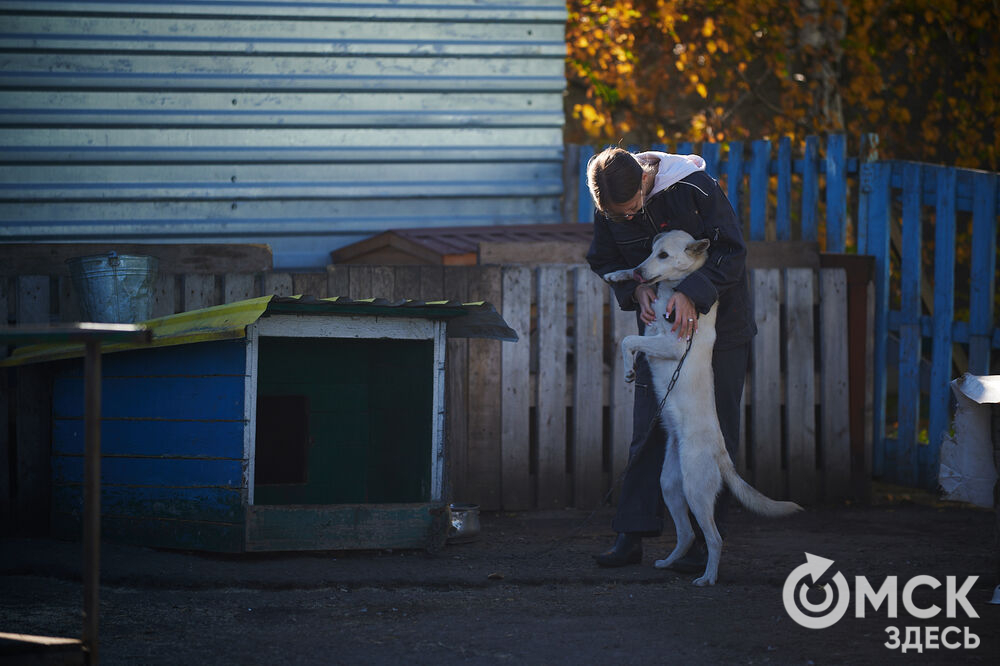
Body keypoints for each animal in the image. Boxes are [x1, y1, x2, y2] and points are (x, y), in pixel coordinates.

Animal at [600, 231, 804, 584]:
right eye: (651, 251)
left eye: (664, 255)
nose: (640, 271)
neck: (676, 287)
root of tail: (721, 453)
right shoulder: (651, 326)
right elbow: (634, 331)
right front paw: (617, 275)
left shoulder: (671, 344)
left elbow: (628, 341)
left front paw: (628, 367)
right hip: (670, 486)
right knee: (686, 534)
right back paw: (670, 562)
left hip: (695, 490)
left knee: (713, 538)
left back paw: (707, 576)